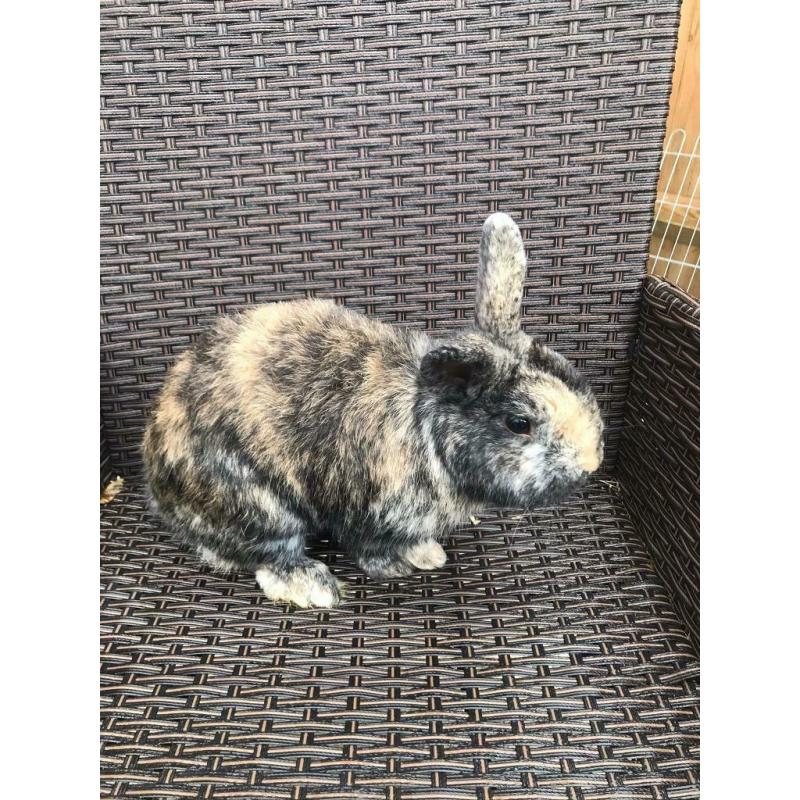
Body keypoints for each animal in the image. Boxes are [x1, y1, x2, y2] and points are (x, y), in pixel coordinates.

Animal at [143, 213, 604, 608]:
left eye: (571, 374)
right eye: (519, 423)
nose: (591, 463)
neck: (427, 429)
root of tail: (159, 488)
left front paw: (426, 553)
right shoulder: (367, 510)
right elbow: (370, 548)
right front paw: (399, 565)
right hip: (257, 504)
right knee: (269, 556)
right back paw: (315, 587)